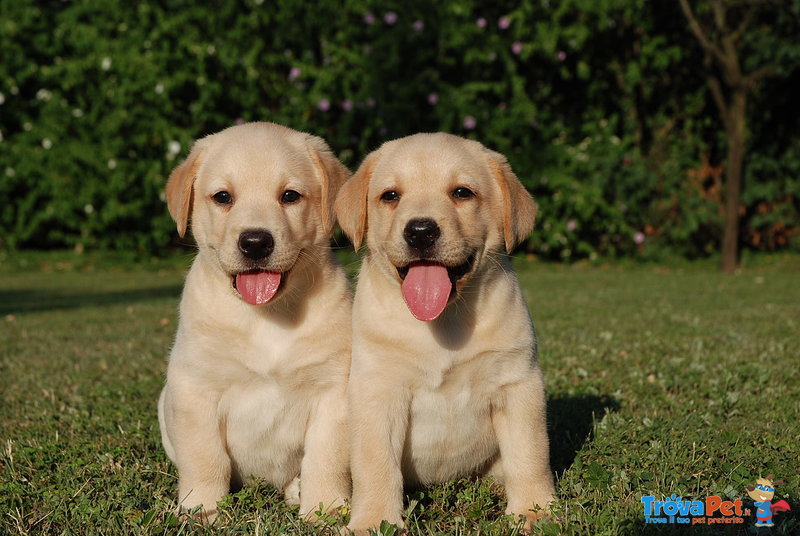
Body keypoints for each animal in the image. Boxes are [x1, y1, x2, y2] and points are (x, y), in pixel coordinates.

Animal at [158, 121, 352, 524]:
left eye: (290, 196)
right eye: (222, 197)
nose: (255, 242)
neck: (267, 316)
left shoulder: (334, 391)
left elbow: (326, 459)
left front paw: (325, 509)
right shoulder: (195, 388)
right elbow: (205, 458)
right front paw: (202, 508)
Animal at [338, 133, 556, 532]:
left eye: (461, 192)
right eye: (390, 196)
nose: (420, 231)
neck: (443, 323)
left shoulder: (518, 383)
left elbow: (530, 453)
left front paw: (535, 512)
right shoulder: (377, 391)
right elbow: (376, 465)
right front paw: (374, 521)